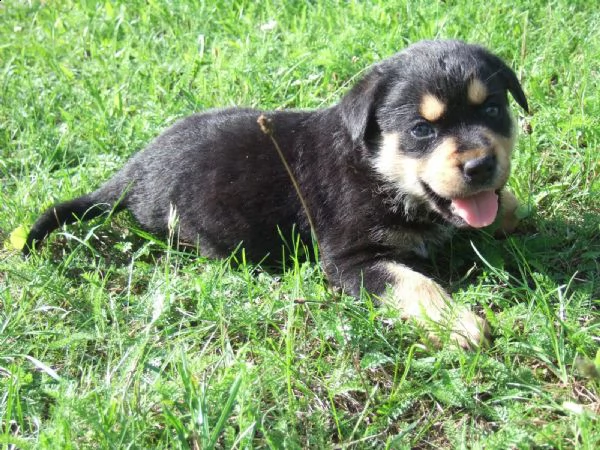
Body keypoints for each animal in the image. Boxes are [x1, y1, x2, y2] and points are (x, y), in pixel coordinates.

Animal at [25, 39, 528, 348]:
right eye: (422, 130)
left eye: (494, 110)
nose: (481, 165)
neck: (375, 169)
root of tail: (130, 173)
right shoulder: (352, 259)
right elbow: (418, 284)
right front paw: (462, 325)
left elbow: (507, 205)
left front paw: (507, 215)